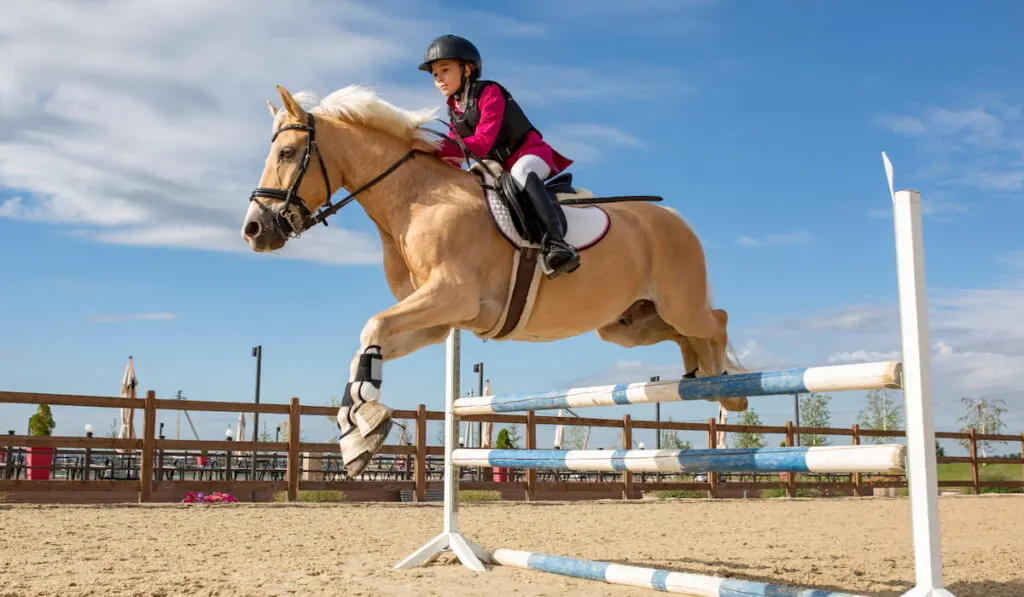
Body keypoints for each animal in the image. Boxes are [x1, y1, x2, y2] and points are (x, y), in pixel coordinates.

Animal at [243, 85, 749, 477]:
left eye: (287, 153)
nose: (254, 230)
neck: (416, 198)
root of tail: (675, 219)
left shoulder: (452, 296)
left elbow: (372, 326)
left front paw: (364, 423)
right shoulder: (438, 321)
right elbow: (369, 342)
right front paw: (358, 433)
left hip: (678, 303)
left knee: (717, 321)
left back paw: (730, 391)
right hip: (627, 325)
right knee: (686, 336)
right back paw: (703, 373)